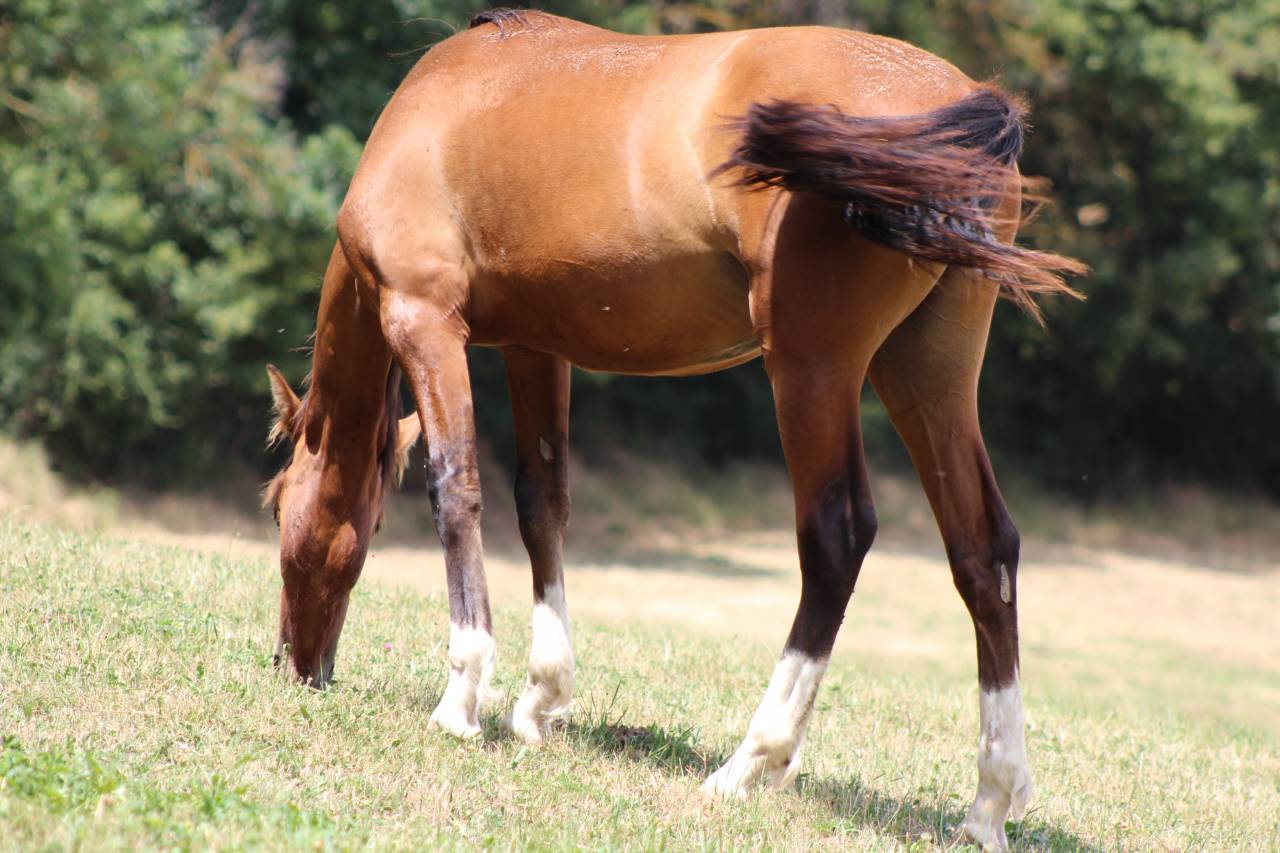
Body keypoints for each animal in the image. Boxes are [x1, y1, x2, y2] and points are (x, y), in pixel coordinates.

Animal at [263, 10, 1084, 850]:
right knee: (982, 550)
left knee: (837, 538)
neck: (436, 104)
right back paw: (989, 799)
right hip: (926, 369)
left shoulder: (424, 318)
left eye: (278, 507)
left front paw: (463, 696)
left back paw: (750, 761)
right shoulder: (536, 346)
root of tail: (959, 101)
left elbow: (455, 490)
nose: (294, 664)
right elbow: (541, 503)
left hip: (813, 368)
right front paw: (541, 699)